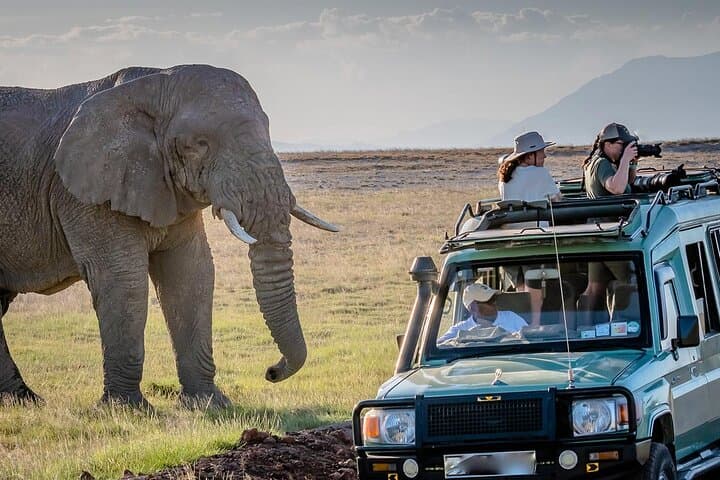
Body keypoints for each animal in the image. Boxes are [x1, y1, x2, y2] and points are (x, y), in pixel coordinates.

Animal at [0, 65, 338, 408]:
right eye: (199, 144)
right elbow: (123, 278)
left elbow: (190, 273)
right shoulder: (84, 192)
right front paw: (128, 409)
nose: (271, 371)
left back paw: (23, 401)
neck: (153, 83)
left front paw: (208, 404)